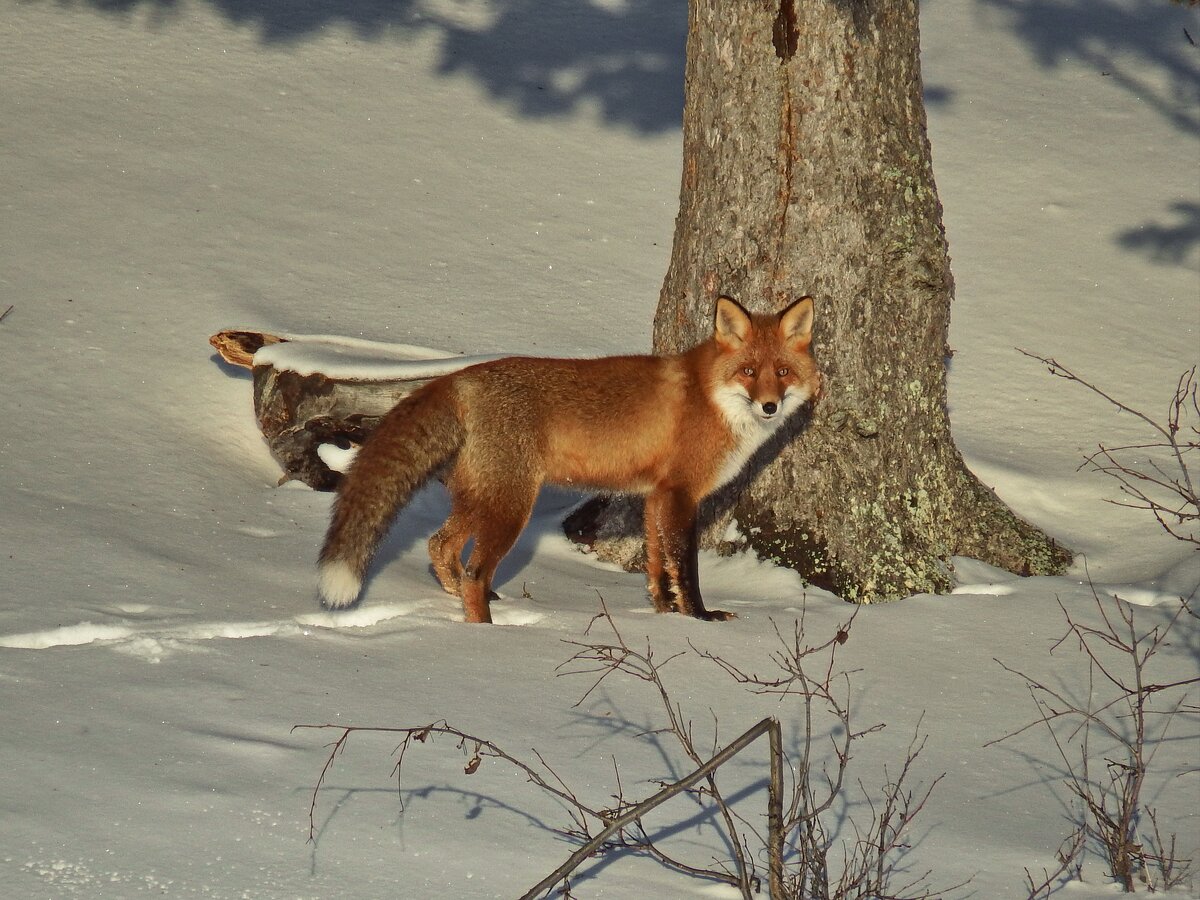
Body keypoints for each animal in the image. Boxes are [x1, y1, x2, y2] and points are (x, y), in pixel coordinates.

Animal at [319, 300, 820, 624]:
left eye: (782, 373)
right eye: (749, 373)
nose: (770, 407)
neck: (712, 398)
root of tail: (461, 377)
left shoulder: (655, 496)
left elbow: (657, 566)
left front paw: (662, 616)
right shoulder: (680, 494)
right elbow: (686, 566)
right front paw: (699, 617)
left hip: (482, 498)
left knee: (440, 547)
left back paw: (456, 598)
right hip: (511, 506)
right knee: (475, 572)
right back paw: (484, 633)